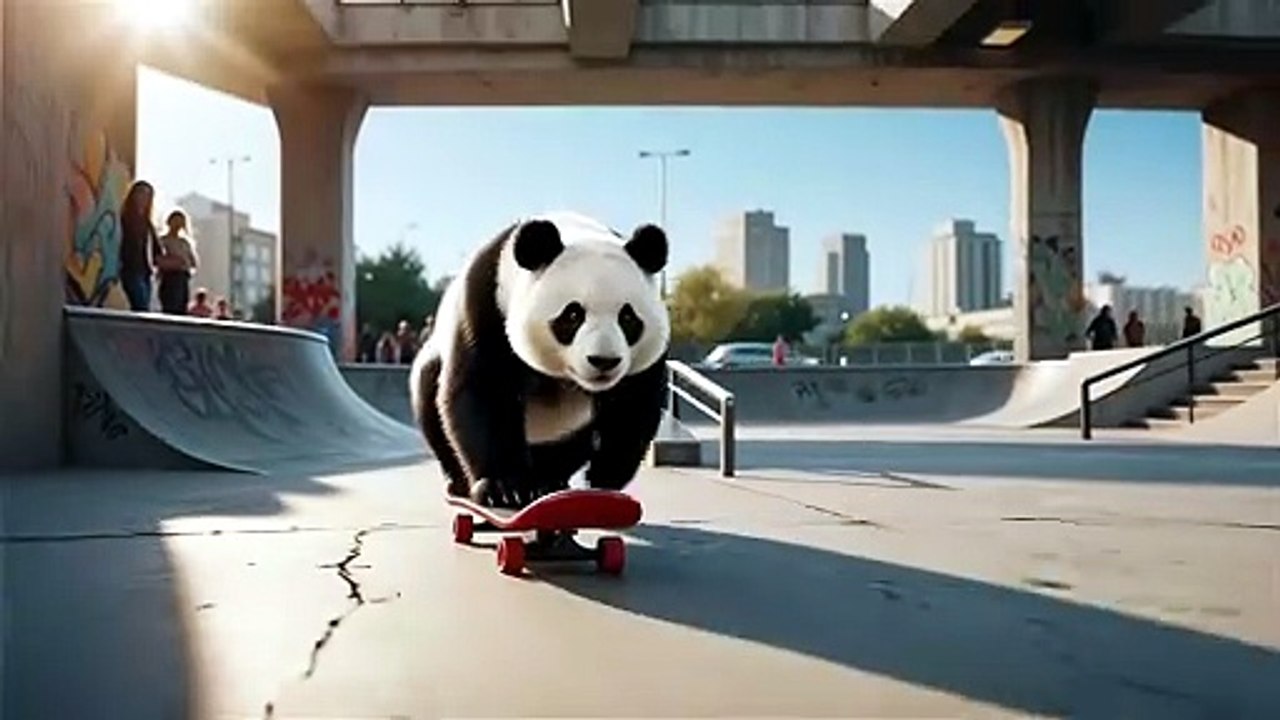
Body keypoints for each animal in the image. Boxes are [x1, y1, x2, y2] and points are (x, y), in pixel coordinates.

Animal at [409, 211, 671, 509]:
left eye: (628, 318)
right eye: (573, 315)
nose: (604, 361)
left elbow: (633, 405)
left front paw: (604, 479)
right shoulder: (486, 305)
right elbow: (483, 390)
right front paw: (505, 488)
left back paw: (549, 481)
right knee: (430, 394)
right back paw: (461, 483)